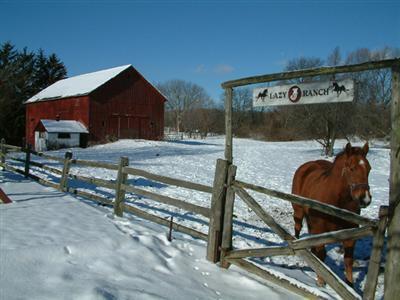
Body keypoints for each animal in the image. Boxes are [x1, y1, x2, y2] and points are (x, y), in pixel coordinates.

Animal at [290, 142, 372, 288]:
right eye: (351, 168)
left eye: (369, 169)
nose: (365, 199)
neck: (336, 204)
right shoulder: (320, 230)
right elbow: (322, 255)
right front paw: (321, 280)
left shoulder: (350, 235)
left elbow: (348, 260)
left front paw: (350, 284)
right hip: (298, 211)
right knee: (298, 227)